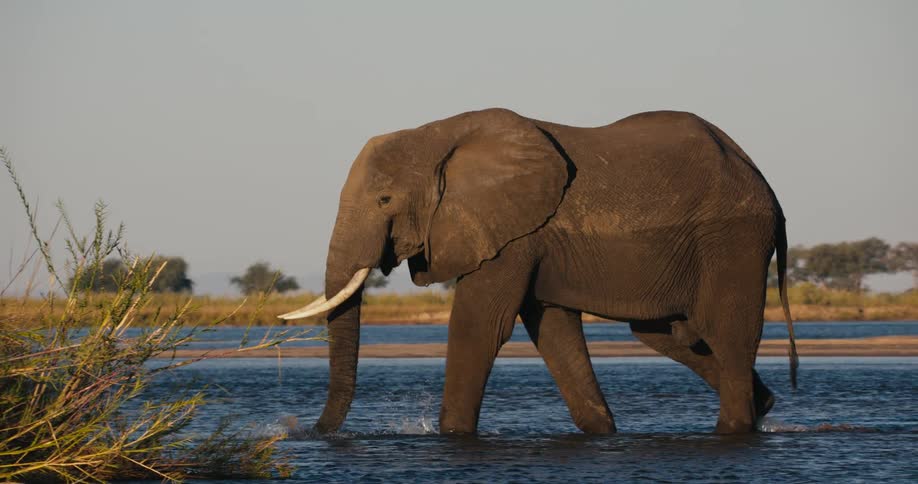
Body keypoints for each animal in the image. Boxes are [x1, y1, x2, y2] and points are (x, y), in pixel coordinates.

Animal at [279, 108, 799, 435]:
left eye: (385, 199)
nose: (304, 431)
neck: (436, 134)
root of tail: (766, 185)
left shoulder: (513, 234)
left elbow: (478, 325)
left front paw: (452, 436)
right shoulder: (529, 238)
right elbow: (553, 329)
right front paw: (601, 431)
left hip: (733, 239)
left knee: (725, 331)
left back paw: (733, 428)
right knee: (670, 334)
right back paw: (764, 406)